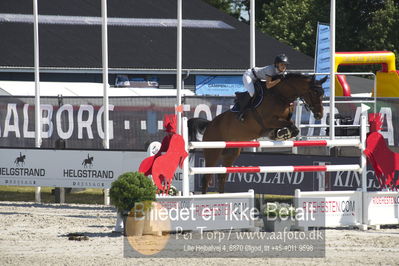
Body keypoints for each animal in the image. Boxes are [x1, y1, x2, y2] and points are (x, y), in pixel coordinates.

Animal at [188, 72, 328, 193]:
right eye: (314, 92)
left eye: (322, 93)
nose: (319, 115)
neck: (280, 96)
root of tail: (210, 124)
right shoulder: (268, 120)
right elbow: (291, 126)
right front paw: (281, 134)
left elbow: (294, 127)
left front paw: (278, 134)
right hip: (213, 152)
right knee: (206, 178)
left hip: (231, 153)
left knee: (222, 177)